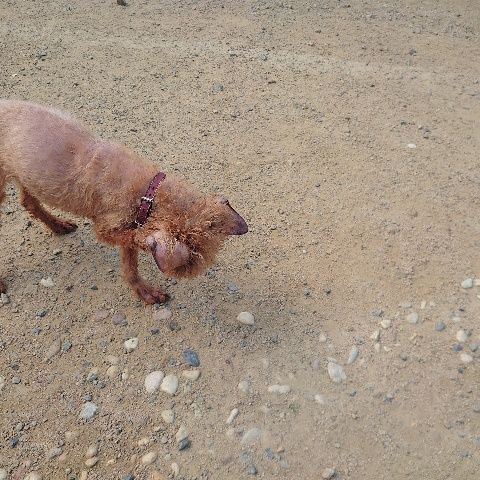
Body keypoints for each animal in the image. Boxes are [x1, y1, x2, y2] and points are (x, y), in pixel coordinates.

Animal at [0, 100, 248, 303]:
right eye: (190, 262)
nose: (187, 273)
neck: (149, 191)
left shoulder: (133, 218)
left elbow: (131, 263)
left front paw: (144, 292)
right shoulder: (108, 227)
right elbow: (132, 239)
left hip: (26, 175)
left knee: (28, 202)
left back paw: (58, 225)